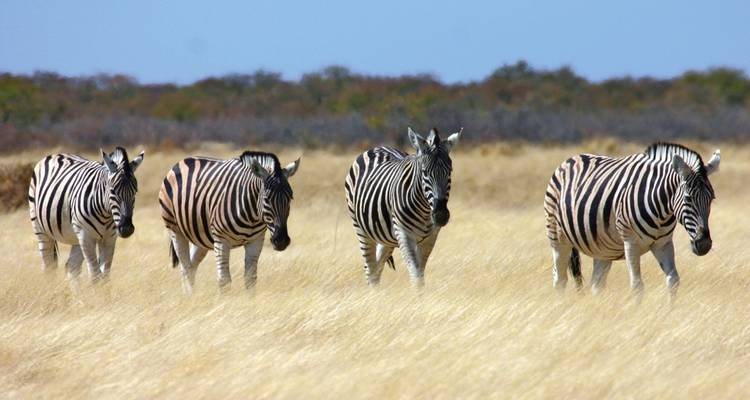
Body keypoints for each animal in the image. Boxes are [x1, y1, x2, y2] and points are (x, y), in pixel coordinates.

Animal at [28, 147, 145, 286]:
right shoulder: (86, 236)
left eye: (135, 192)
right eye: (113, 191)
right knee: (48, 267)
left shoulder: (109, 238)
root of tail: (55, 154)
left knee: (72, 267)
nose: (127, 229)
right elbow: (95, 276)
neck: (105, 213)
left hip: (76, 237)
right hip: (41, 229)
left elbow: (105, 277)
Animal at [159, 151, 300, 292]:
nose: (281, 241)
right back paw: (189, 297)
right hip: (175, 230)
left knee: (190, 267)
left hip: (200, 237)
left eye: (290, 198)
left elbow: (251, 279)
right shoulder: (221, 241)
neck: (252, 216)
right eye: (266, 198)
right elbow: (224, 281)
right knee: (186, 267)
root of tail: (183, 160)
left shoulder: (256, 241)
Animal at [345, 127, 462, 287]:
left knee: (377, 266)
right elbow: (416, 274)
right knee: (370, 268)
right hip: (361, 229)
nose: (441, 215)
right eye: (425, 172)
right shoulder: (404, 234)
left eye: (450, 172)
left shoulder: (431, 238)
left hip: (387, 237)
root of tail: (378, 147)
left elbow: (420, 274)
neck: (425, 211)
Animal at [544, 142, 720, 295]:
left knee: (596, 284)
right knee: (559, 279)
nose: (704, 245)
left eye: (711, 199)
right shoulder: (631, 243)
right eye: (687, 198)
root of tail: (570, 159)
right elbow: (637, 285)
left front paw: (670, 311)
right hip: (558, 239)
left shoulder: (663, 244)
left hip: (602, 249)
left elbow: (673, 280)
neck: (662, 212)